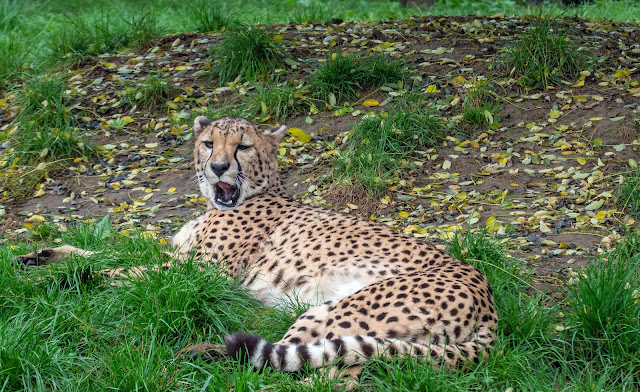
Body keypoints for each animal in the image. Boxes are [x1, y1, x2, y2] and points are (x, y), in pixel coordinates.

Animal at [13, 116, 496, 386]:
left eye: (243, 146)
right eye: (209, 143)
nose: (218, 167)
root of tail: (488, 295)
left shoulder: (196, 273)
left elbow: (124, 271)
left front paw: (59, 279)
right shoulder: (181, 260)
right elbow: (114, 254)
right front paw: (44, 256)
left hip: (345, 311)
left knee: (319, 374)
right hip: (340, 318)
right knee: (313, 362)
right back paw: (201, 354)